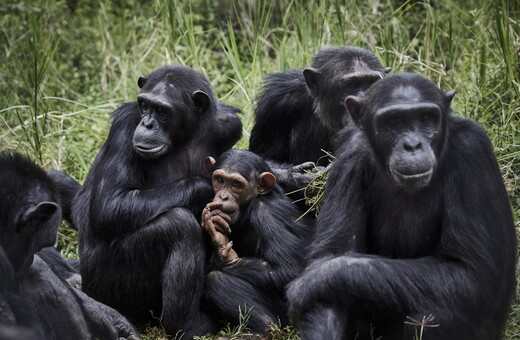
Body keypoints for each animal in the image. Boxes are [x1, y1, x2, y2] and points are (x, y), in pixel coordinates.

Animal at [72, 64, 243, 338]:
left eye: (162, 111)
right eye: (144, 105)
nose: (148, 123)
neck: (186, 135)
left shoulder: (230, 126)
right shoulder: (125, 125)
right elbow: (110, 205)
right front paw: (209, 188)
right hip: (106, 286)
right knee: (178, 225)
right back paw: (188, 325)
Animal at [201, 150, 310, 334]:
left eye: (236, 185)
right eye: (220, 180)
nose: (223, 196)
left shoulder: (266, 214)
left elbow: (288, 269)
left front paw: (225, 254)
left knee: (217, 279)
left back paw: (265, 328)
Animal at [249, 45, 390, 190]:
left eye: (372, 82)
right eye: (352, 84)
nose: (366, 97)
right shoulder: (274, 103)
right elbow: (262, 156)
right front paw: (295, 175)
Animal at [286, 74, 516, 340]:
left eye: (425, 118)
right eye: (393, 122)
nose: (412, 145)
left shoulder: (472, 150)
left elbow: (470, 273)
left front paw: (311, 280)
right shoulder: (348, 155)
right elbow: (332, 254)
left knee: (433, 314)